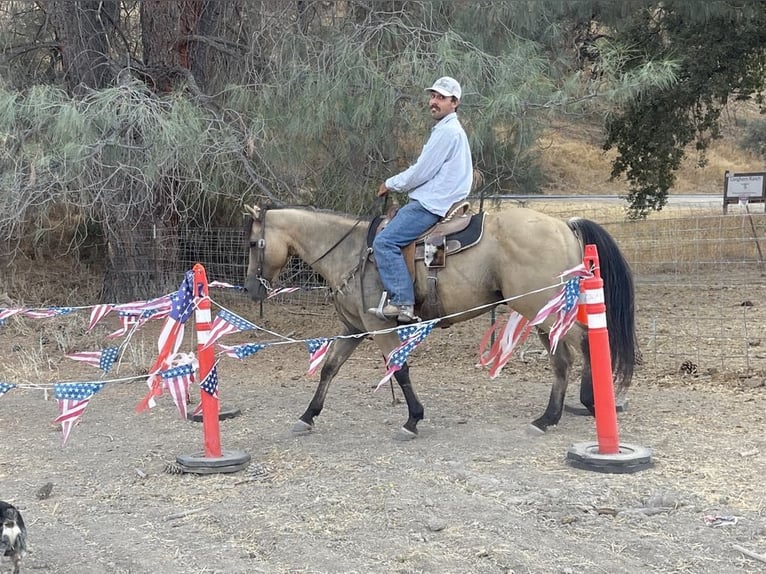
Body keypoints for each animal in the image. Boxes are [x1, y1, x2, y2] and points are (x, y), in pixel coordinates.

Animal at [244, 203, 636, 440]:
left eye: (251, 243)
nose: (250, 288)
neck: (351, 251)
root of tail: (563, 225)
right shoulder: (353, 329)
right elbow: (329, 368)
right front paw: (308, 415)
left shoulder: (380, 327)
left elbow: (399, 370)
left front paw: (413, 419)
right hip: (541, 311)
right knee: (566, 356)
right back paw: (558, 413)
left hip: (541, 305)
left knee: (579, 345)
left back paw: (572, 408)